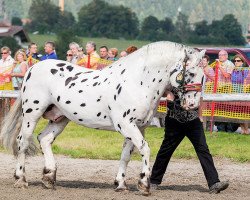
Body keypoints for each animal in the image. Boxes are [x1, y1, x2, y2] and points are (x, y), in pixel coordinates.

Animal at [0, 40, 205, 195]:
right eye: (190, 73)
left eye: (203, 76)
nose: (193, 105)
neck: (137, 82)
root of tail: (32, 68)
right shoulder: (126, 125)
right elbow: (145, 149)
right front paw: (144, 184)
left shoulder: (138, 127)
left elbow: (126, 155)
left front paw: (121, 184)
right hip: (32, 114)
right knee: (23, 141)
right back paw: (21, 179)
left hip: (60, 118)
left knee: (44, 139)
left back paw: (49, 178)